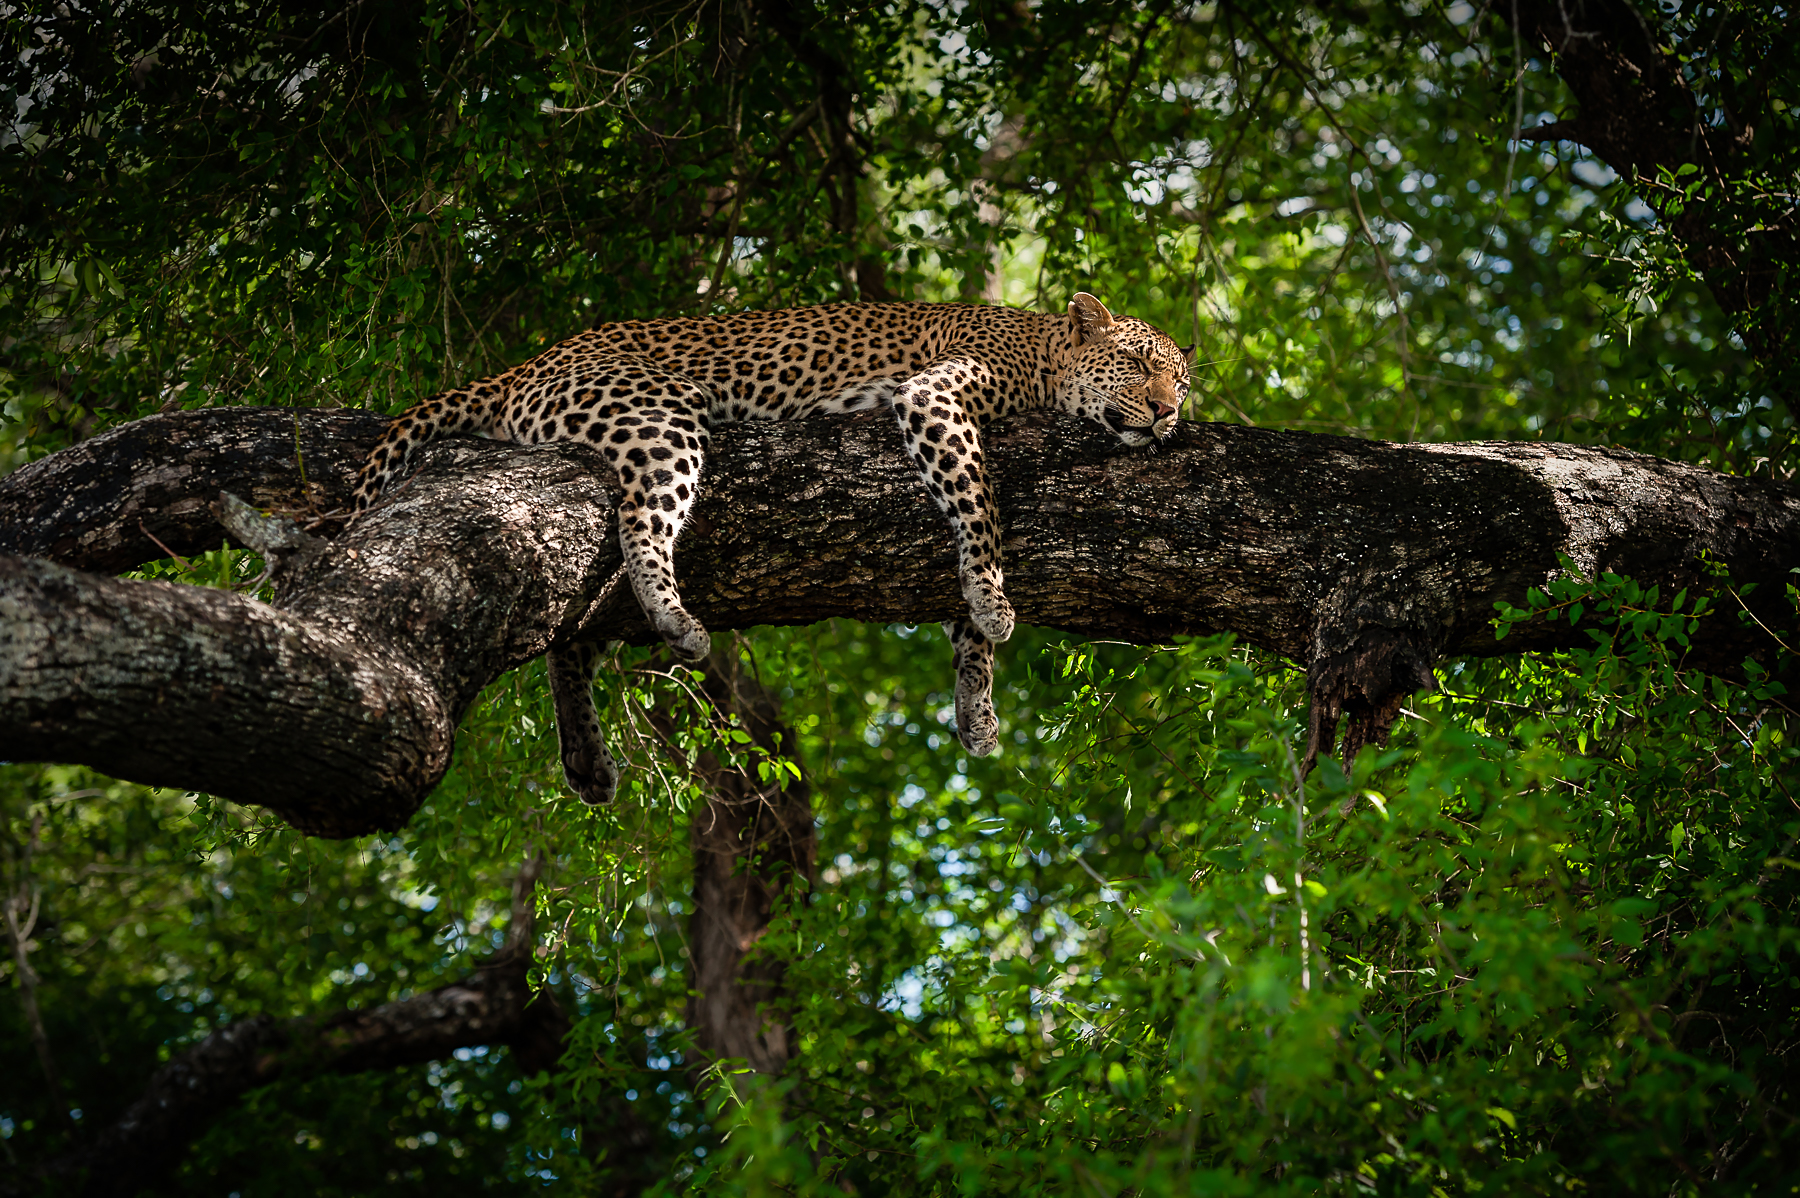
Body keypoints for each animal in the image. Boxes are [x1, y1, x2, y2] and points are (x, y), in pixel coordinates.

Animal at [352, 293, 1192, 805]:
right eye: (1139, 364)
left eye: (1181, 380)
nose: (1169, 413)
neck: (1044, 354)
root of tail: (523, 365)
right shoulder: (935, 398)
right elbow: (976, 505)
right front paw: (994, 597)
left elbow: (961, 617)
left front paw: (977, 706)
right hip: (658, 412)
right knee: (638, 525)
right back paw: (677, 620)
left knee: (574, 632)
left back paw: (587, 758)